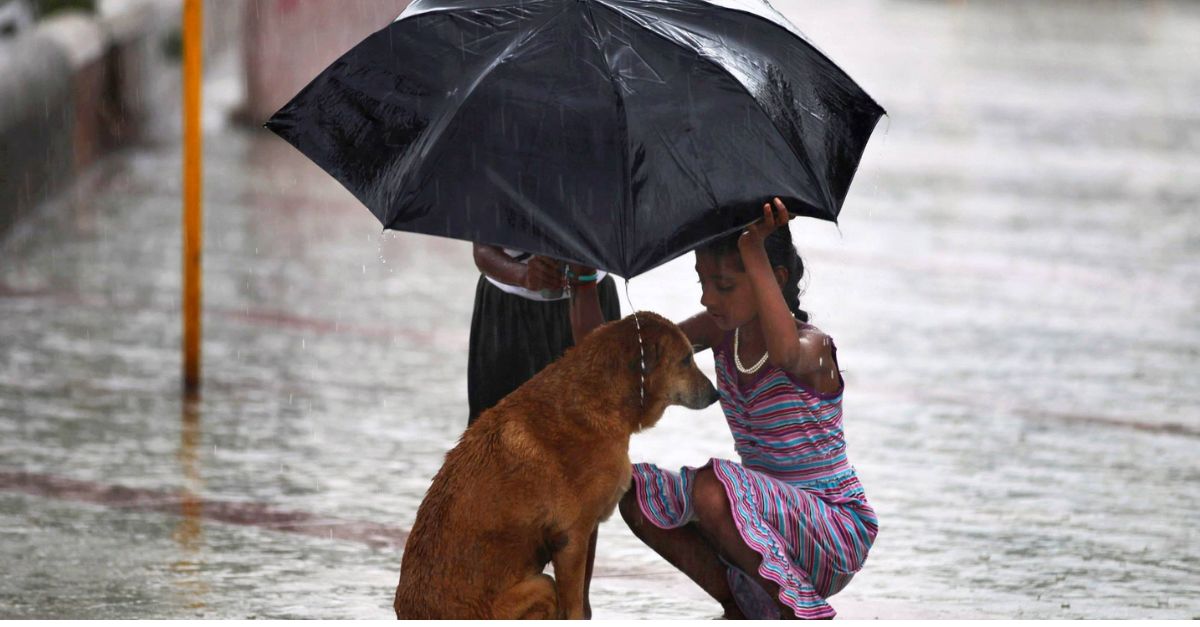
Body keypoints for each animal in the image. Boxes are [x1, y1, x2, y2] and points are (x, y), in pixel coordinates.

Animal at [393, 309, 715, 614]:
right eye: (687, 359)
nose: (715, 394)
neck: (599, 397)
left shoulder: (585, 532)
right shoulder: (573, 537)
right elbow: (574, 606)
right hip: (541, 586)